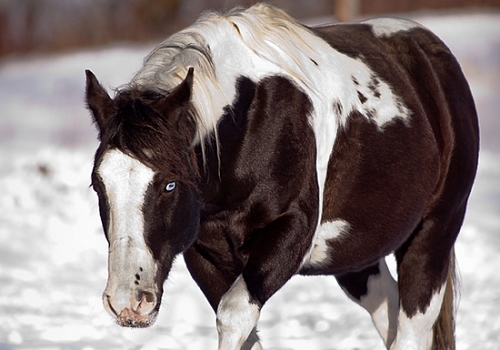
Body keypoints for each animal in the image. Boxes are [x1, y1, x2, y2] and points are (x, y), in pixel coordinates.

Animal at [84, 3, 478, 350]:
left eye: (169, 184)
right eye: (98, 185)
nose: (127, 302)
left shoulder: (290, 234)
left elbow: (234, 317)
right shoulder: (205, 255)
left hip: (433, 236)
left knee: (413, 329)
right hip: (358, 260)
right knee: (389, 314)